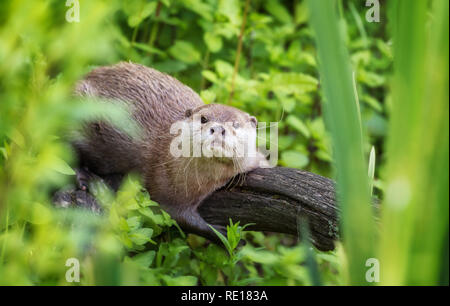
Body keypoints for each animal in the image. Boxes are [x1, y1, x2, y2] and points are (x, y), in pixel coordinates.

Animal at [71, 62, 266, 244]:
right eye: (204, 119)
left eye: (236, 124)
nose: (218, 128)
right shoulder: (166, 184)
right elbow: (177, 215)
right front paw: (222, 234)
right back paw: (90, 180)